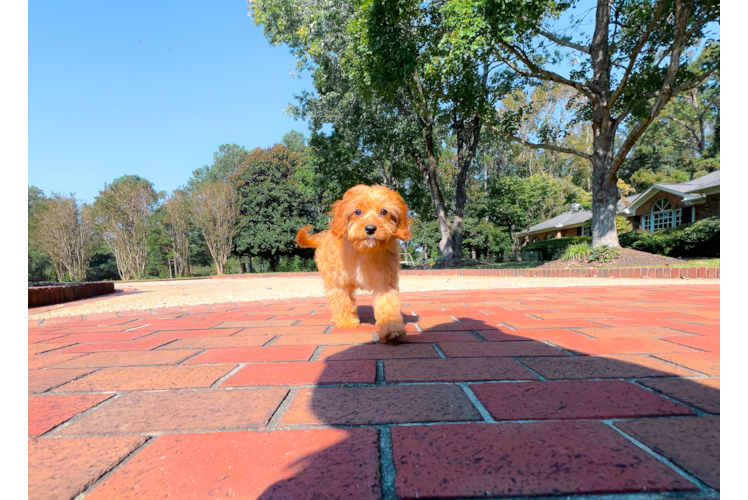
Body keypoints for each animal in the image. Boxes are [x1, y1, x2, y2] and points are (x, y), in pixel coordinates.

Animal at [296, 185, 410, 344]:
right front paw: (346, 321)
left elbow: (388, 303)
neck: (364, 250)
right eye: (357, 211)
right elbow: (342, 299)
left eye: (384, 211)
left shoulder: (386, 280)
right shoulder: (340, 281)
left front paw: (392, 329)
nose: (370, 228)